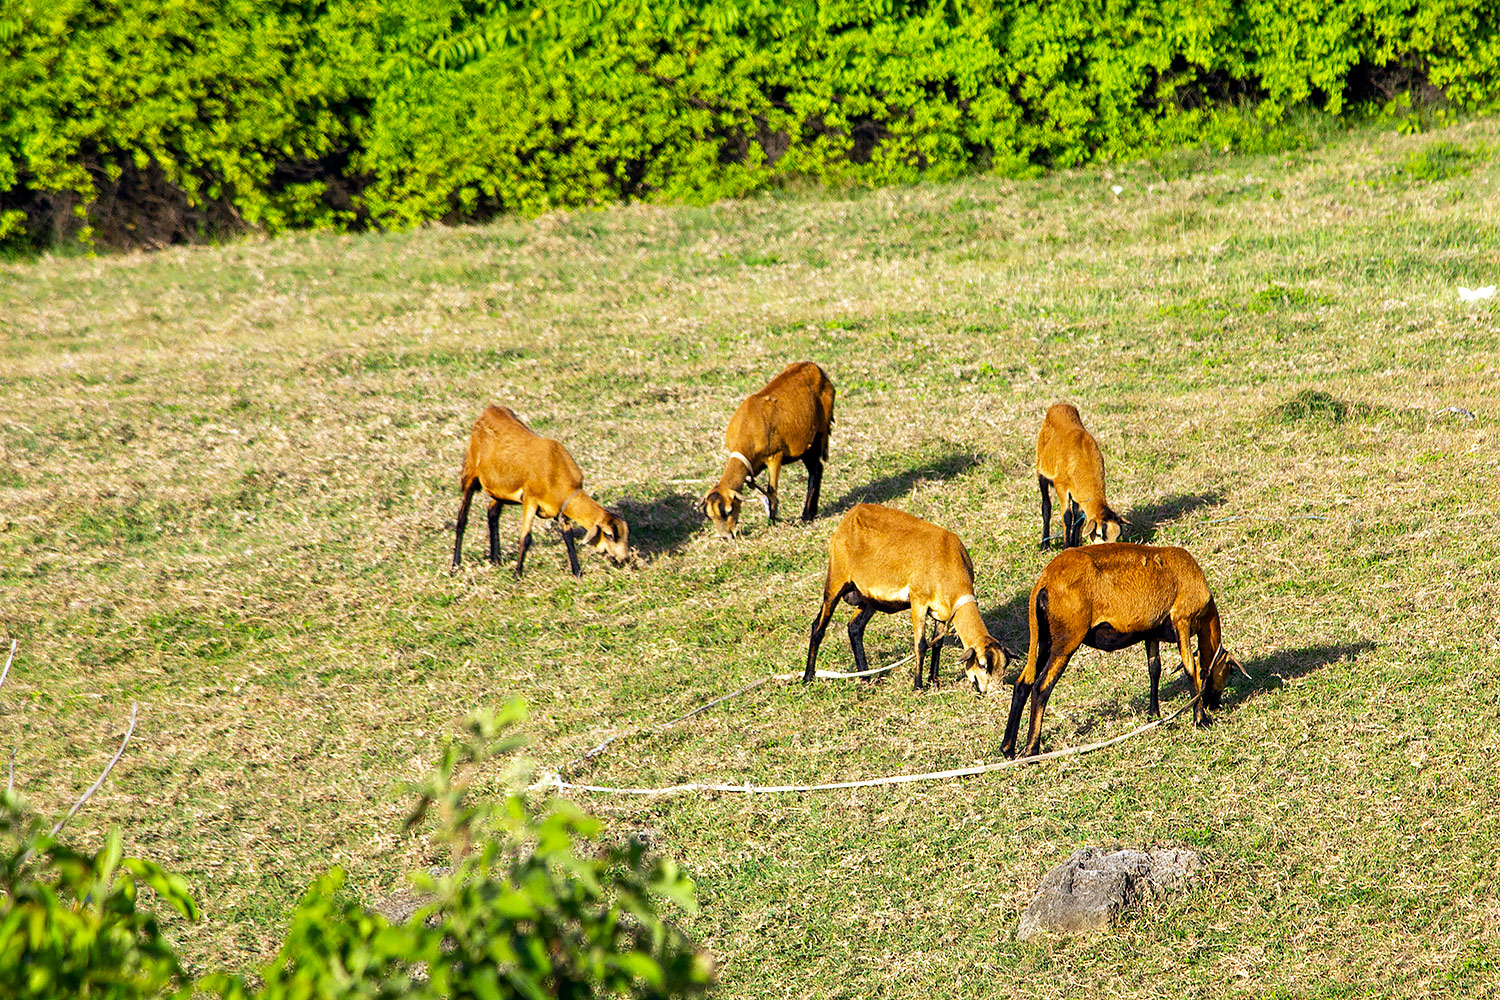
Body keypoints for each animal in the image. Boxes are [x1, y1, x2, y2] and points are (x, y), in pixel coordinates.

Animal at [450, 405, 629, 577]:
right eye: (609, 535)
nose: (624, 559)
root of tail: (490, 409)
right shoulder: (530, 499)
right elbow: (526, 538)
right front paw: (517, 575)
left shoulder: (560, 507)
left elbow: (568, 537)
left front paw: (577, 572)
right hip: (470, 474)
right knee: (462, 518)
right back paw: (455, 565)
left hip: (500, 490)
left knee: (492, 512)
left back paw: (495, 559)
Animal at [702, 361, 834, 539]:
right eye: (710, 516)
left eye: (729, 510)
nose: (726, 536)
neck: (748, 427)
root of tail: (815, 367)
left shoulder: (774, 456)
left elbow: (772, 493)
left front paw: (772, 523)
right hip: (805, 444)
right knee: (817, 468)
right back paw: (811, 513)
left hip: (818, 434)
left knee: (816, 470)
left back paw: (806, 515)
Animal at [805, 503, 1016, 690]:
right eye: (982, 664)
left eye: (1003, 666)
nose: (991, 691)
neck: (949, 561)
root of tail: (851, 515)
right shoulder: (918, 600)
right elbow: (920, 645)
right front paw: (918, 686)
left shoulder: (943, 611)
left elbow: (937, 643)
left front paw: (934, 681)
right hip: (836, 579)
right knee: (818, 627)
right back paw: (808, 677)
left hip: (869, 598)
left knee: (854, 627)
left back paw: (866, 678)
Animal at [978, 542, 1236, 759]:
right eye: (1227, 672)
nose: (1215, 704)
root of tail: (1045, 581)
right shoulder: (1182, 619)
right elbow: (1191, 669)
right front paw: (1201, 719)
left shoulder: (1150, 632)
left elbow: (1154, 669)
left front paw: (1154, 715)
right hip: (1066, 640)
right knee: (1042, 686)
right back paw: (1032, 748)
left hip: (1043, 638)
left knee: (1023, 683)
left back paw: (1008, 748)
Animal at [1035, 402, 1125, 549]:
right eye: (1099, 534)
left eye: (1118, 536)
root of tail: (1059, 405)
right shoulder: (1061, 486)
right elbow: (1067, 517)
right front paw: (1066, 546)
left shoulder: (1078, 494)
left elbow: (1078, 518)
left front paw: (1075, 544)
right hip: (1041, 473)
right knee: (1046, 507)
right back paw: (1045, 545)